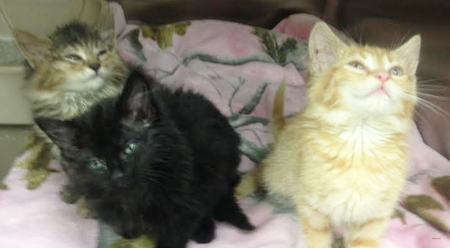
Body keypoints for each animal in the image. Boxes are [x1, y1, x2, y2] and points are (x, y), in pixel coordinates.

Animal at [35, 70, 253, 247]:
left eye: (130, 148)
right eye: (96, 163)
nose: (118, 174)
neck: (135, 195)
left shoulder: (183, 209)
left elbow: (176, 231)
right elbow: (123, 224)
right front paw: (129, 231)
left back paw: (205, 231)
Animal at [262, 21, 420, 248]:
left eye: (396, 71)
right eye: (356, 66)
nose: (384, 76)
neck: (361, 140)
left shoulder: (375, 216)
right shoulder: (311, 207)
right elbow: (317, 238)